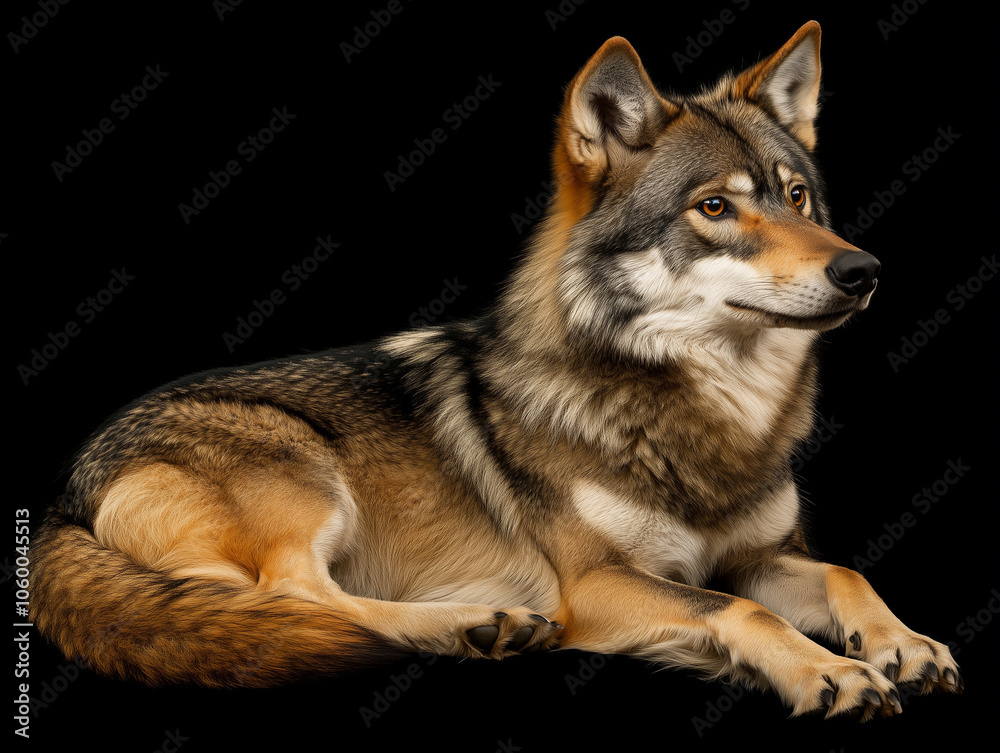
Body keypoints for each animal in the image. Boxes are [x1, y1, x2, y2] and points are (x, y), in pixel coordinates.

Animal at [33, 22, 961, 719]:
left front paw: (902, 642)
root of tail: (65, 493)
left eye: (796, 196)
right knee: (292, 599)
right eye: (714, 208)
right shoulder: (597, 582)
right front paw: (829, 668)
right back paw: (478, 622)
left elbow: (844, 569)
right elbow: (738, 607)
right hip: (308, 478)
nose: (863, 270)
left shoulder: (763, 554)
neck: (705, 415)